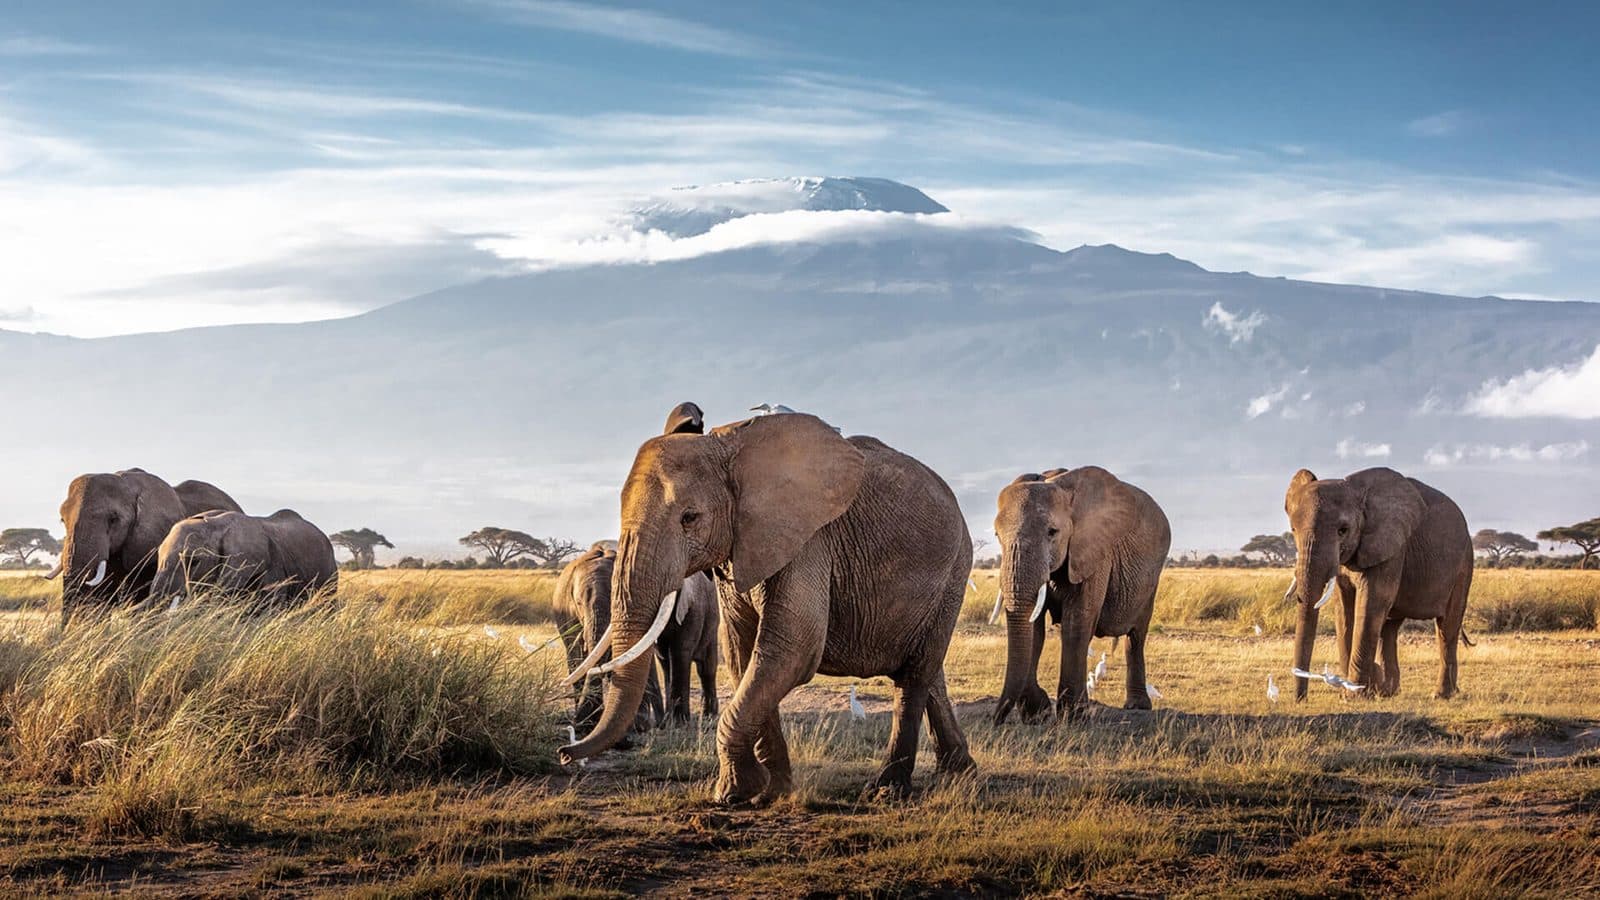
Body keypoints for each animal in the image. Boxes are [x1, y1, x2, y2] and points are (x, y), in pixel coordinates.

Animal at [992, 467, 1171, 723]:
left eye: (1052, 532)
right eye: (997, 535)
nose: (996, 720)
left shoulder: (1094, 553)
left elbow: (1077, 621)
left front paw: (1074, 716)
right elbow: (1034, 628)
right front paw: (1038, 714)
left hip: (1152, 578)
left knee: (1136, 636)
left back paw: (1137, 706)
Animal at [1285, 467, 1472, 700]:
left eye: (1343, 530)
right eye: (1293, 529)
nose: (1300, 699)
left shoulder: (1391, 548)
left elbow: (1371, 602)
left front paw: (1354, 695)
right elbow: (1344, 609)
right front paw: (1354, 691)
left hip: (1463, 565)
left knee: (1447, 628)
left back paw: (1441, 694)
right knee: (1389, 629)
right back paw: (1388, 692)